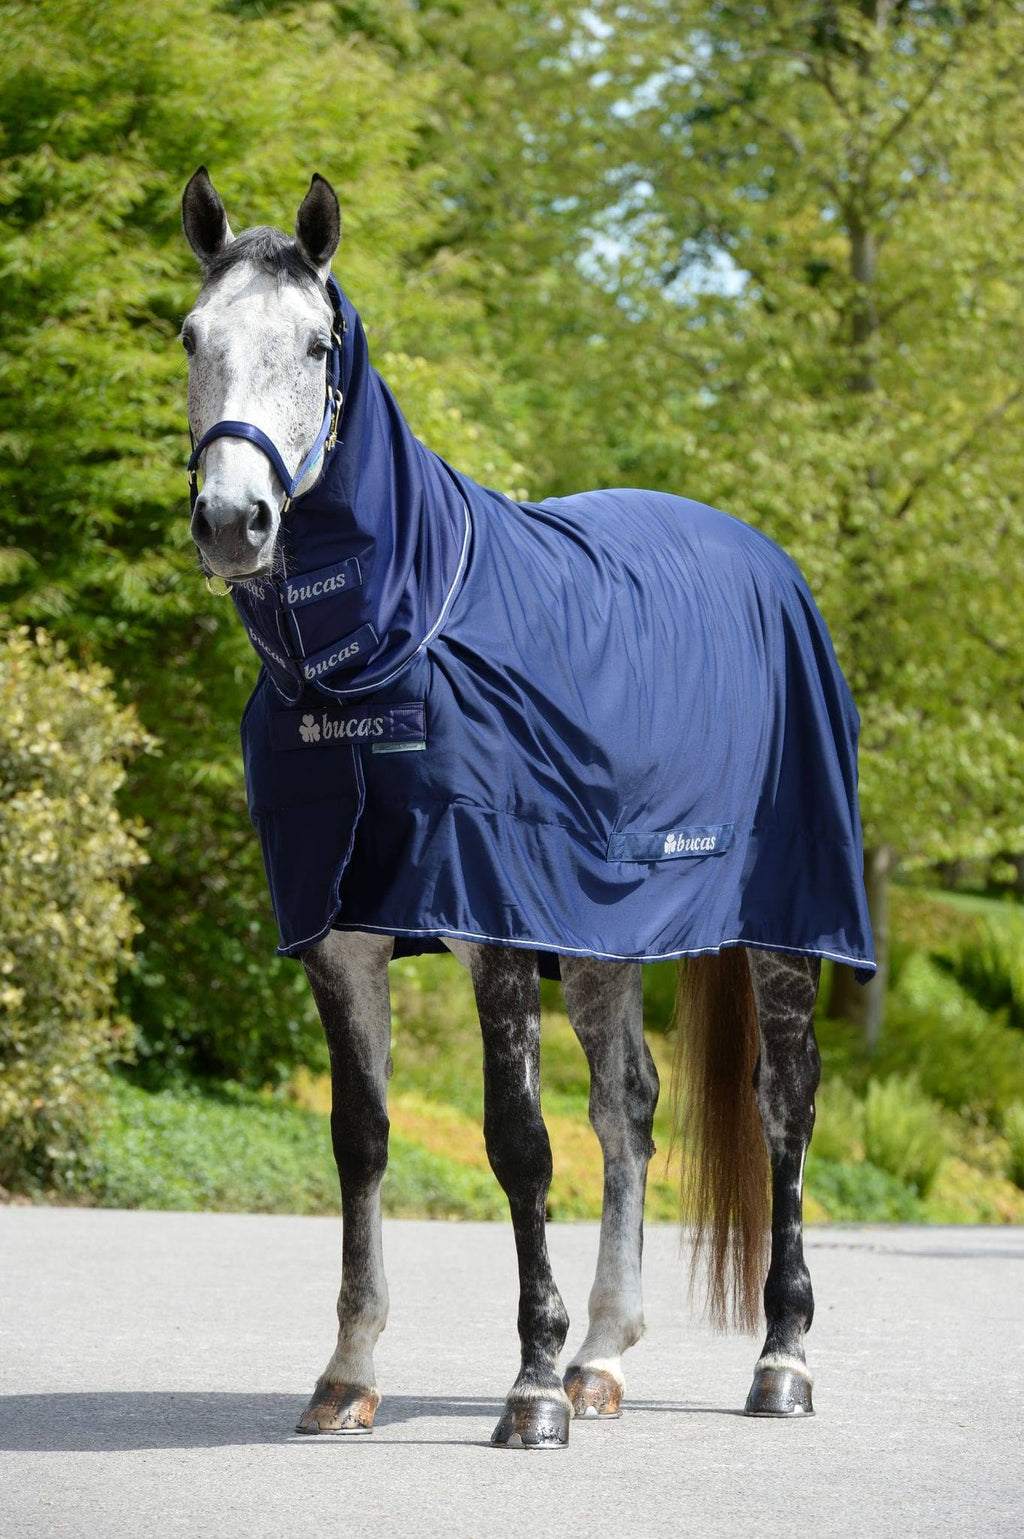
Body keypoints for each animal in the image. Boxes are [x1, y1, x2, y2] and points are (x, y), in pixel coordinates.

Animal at [179, 167, 874, 1448]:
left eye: (316, 345)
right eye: (192, 337)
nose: (233, 522)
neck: (386, 644)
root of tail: (763, 559)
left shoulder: (493, 922)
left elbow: (517, 1142)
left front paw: (531, 1387)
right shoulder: (342, 935)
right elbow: (361, 1140)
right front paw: (347, 1374)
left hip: (782, 928)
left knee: (783, 1107)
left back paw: (777, 1361)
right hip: (602, 932)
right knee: (630, 1107)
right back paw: (605, 1356)